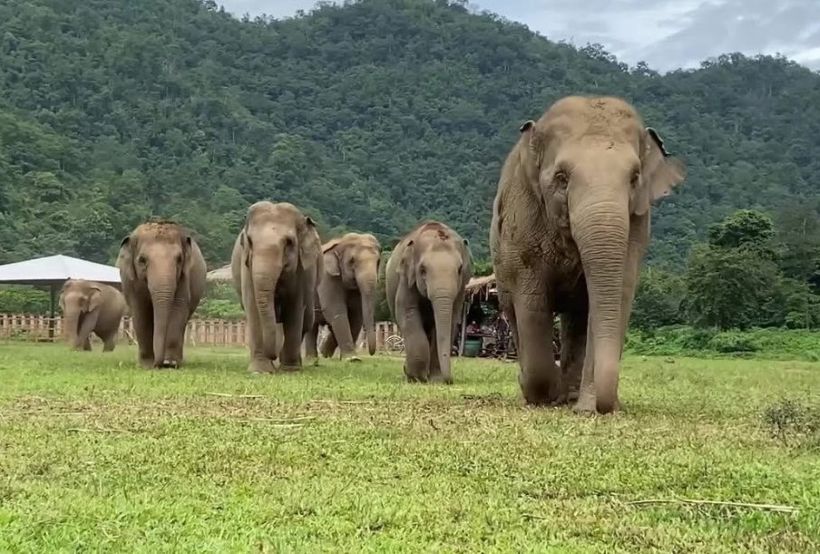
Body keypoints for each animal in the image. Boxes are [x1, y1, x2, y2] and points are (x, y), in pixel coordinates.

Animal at [117, 220, 207, 368]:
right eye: (142, 260)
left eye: (179, 259)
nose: (157, 364)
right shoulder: (132, 281)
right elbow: (141, 311)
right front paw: (146, 364)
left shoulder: (184, 277)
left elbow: (178, 307)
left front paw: (170, 363)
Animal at [231, 201, 322, 373]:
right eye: (250, 242)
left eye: (289, 242)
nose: (273, 356)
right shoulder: (247, 267)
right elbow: (253, 308)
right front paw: (260, 371)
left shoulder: (300, 270)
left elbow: (294, 308)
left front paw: (290, 370)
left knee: (307, 321)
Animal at [304, 233, 382, 363]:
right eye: (352, 261)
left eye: (378, 261)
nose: (371, 353)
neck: (340, 243)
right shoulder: (327, 277)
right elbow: (336, 310)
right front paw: (352, 359)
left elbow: (356, 315)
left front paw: (345, 357)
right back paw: (312, 359)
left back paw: (324, 354)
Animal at [386, 221, 472, 384]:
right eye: (423, 270)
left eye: (459, 269)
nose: (449, 380)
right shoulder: (407, 279)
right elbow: (408, 312)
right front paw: (416, 377)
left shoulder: (461, 288)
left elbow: (452, 318)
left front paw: (436, 379)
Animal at [490, 96, 685, 414]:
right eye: (562, 178)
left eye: (634, 178)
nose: (608, 406)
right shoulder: (524, 218)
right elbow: (532, 299)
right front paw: (544, 395)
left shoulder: (637, 222)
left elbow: (616, 295)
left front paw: (587, 408)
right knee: (514, 311)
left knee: (578, 319)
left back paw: (569, 395)